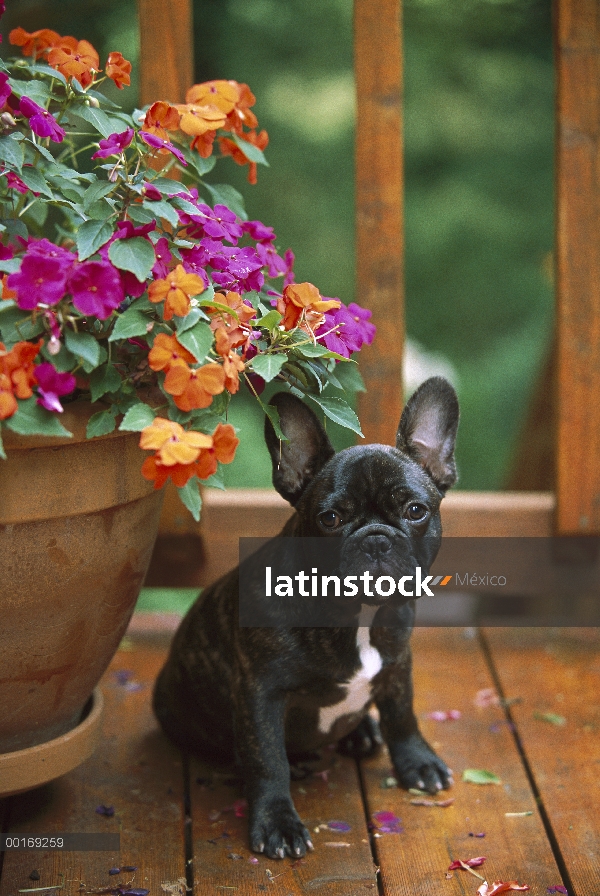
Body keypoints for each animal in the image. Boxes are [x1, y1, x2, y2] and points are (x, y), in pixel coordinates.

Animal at [154, 374, 460, 856]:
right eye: (330, 518)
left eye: (415, 511)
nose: (375, 538)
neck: (356, 618)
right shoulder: (261, 693)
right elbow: (267, 760)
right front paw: (277, 823)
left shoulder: (398, 663)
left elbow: (402, 716)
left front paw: (418, 763)